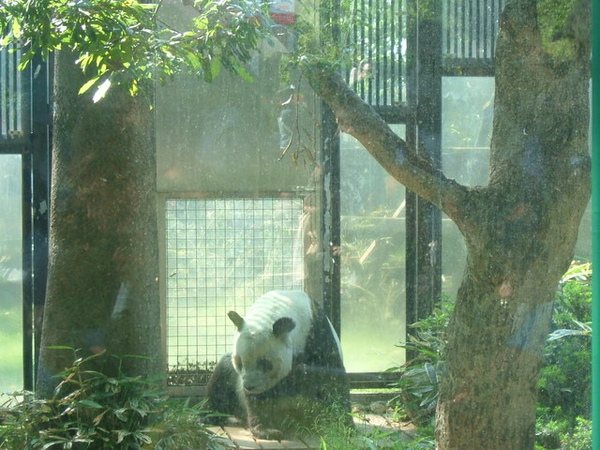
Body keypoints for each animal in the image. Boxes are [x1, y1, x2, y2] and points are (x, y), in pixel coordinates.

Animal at [207, 290, 352, 442]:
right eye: (240, 362)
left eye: (264, 363)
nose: (249, 386)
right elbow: (260, 397)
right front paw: (266, 430)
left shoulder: (317, 332)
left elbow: (330, 377)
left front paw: (344, 426)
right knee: (221, 379)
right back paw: (212, 416)